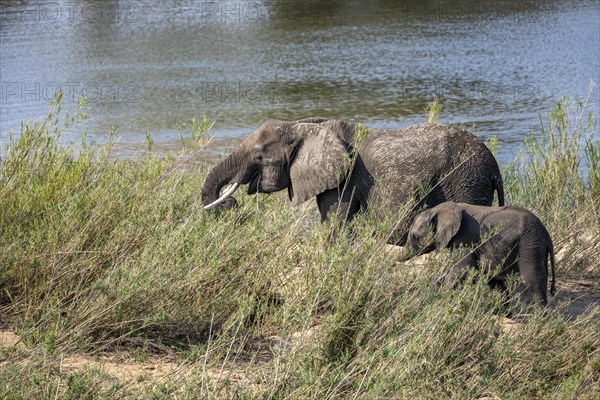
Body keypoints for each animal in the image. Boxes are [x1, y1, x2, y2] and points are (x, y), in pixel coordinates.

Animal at [204, 117, 504, 245]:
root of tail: (495, 169)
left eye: (258, 156)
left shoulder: (345, 178)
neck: (304, 126)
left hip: (466, 181)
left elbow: (335, 219)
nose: (231, 203)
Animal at [408, 202, 556, 304]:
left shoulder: (466, 239)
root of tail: (547, 236)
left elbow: (461, 268)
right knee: (498, 282)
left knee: (533, 281)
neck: (437, 209)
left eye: (415, 236)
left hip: (529, 247)